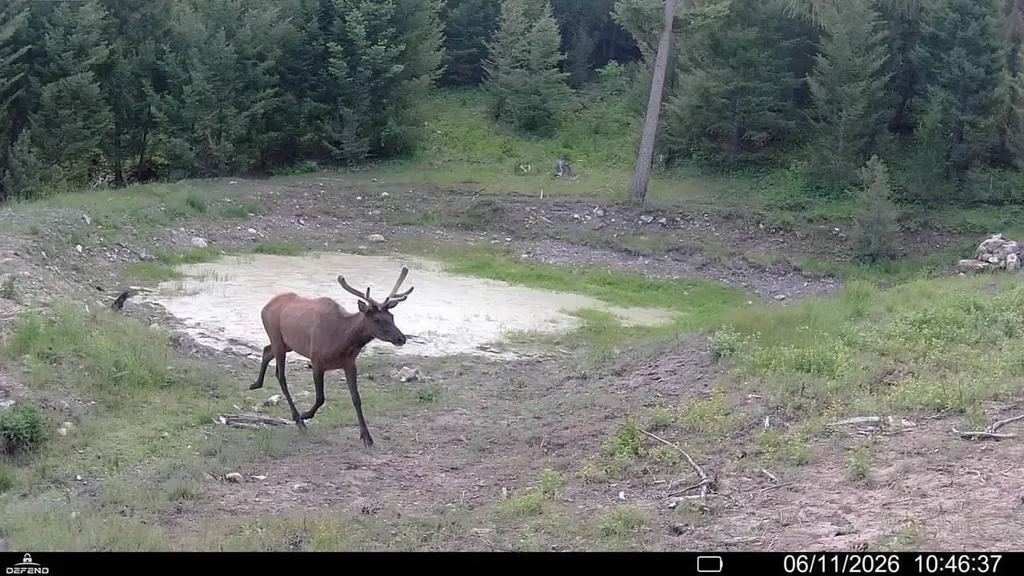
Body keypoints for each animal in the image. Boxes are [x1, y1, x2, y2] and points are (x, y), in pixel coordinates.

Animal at [249, 266, 415, 447]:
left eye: (392, 317)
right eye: (377, 319)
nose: (401, 338)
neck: (341, 341)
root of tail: (265, 306)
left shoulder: (350, 363)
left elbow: (356, 398)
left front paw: (367, 436)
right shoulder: (316, 360)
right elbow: (320, 397)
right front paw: (305, 414)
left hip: (286, 343)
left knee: (266, 350)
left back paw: (256, 384)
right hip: (276, 337)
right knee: (281, 375)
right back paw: (298, 419)